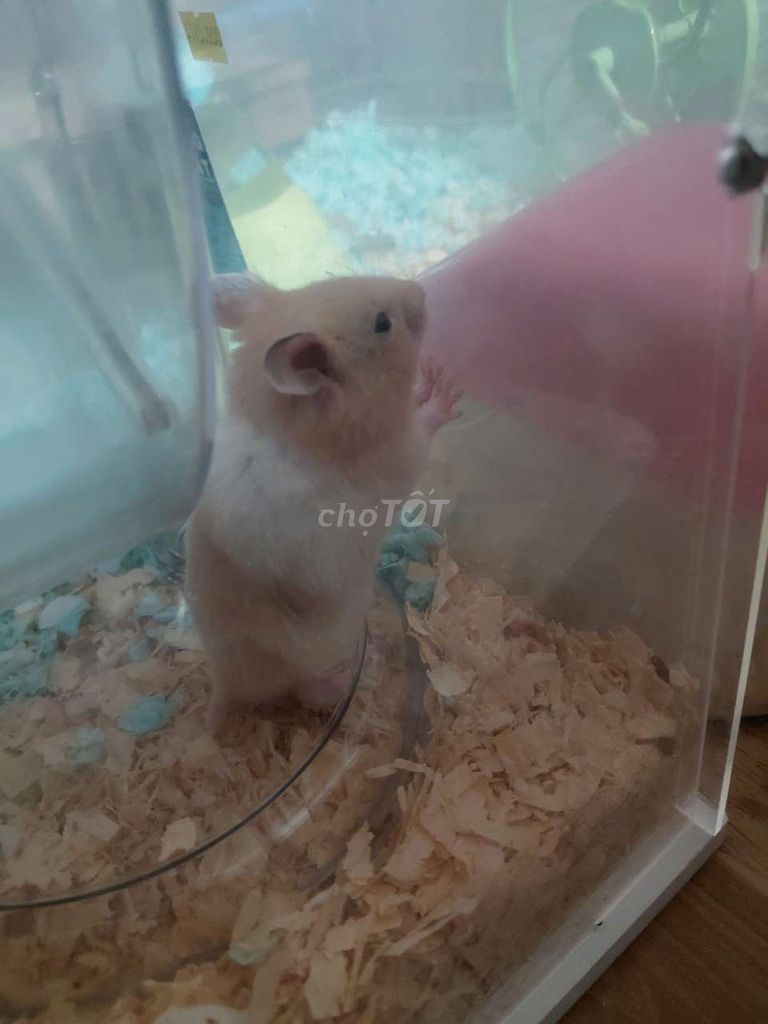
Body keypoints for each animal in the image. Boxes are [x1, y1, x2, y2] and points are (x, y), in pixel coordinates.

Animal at [185, 273, 462, 730]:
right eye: (382, 323)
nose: (420, 291)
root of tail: (226, 686)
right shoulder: (403, 453)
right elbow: (426, 421)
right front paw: (442, 384)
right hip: (310, 652)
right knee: (304, 690)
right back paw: (345, 683)